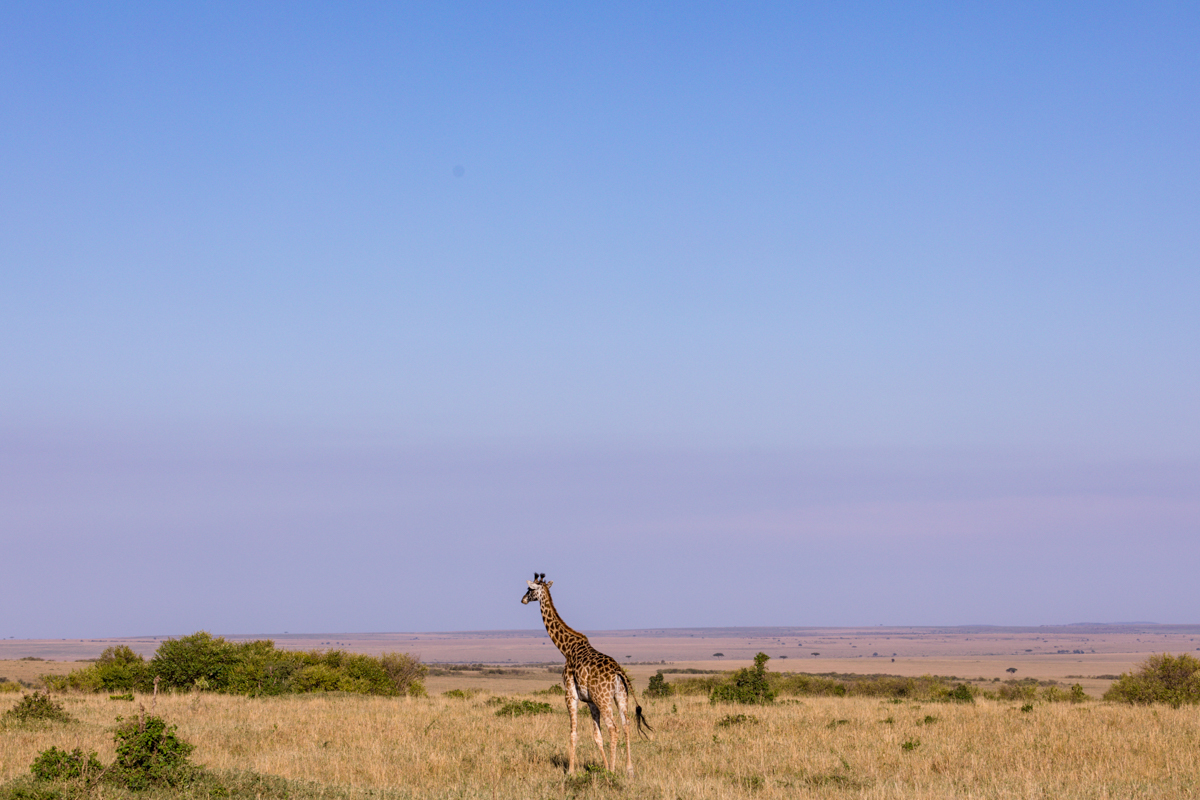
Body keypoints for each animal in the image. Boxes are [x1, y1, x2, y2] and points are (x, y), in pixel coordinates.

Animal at [520, 573, 652, 777]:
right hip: (620, 696)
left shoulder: (570, 694)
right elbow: (597, 736)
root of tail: (618, 671)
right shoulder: (591, 702)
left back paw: (613, 771)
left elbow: (573, 733)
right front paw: (603, 766)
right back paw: (628, 769)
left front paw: (571, 771)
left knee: (613, 728)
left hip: (604, 698)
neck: (566, 648)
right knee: (626, 723)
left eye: (530, 589)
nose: (523, 599)